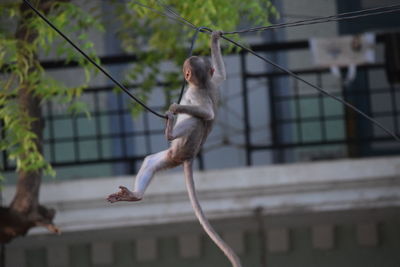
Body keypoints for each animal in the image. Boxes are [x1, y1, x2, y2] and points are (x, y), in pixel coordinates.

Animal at [106, 30, 242, 267]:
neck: (202, 84)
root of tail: (189, 156)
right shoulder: (214, 81)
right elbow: (221, 75)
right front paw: (214, 38)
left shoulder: (197, 94)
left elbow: (206, 114)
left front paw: (176, 107)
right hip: (172, 156)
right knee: (151, 162)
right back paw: (135, 195)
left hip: (179, 150)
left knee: (196, 121)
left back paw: (169, 131)